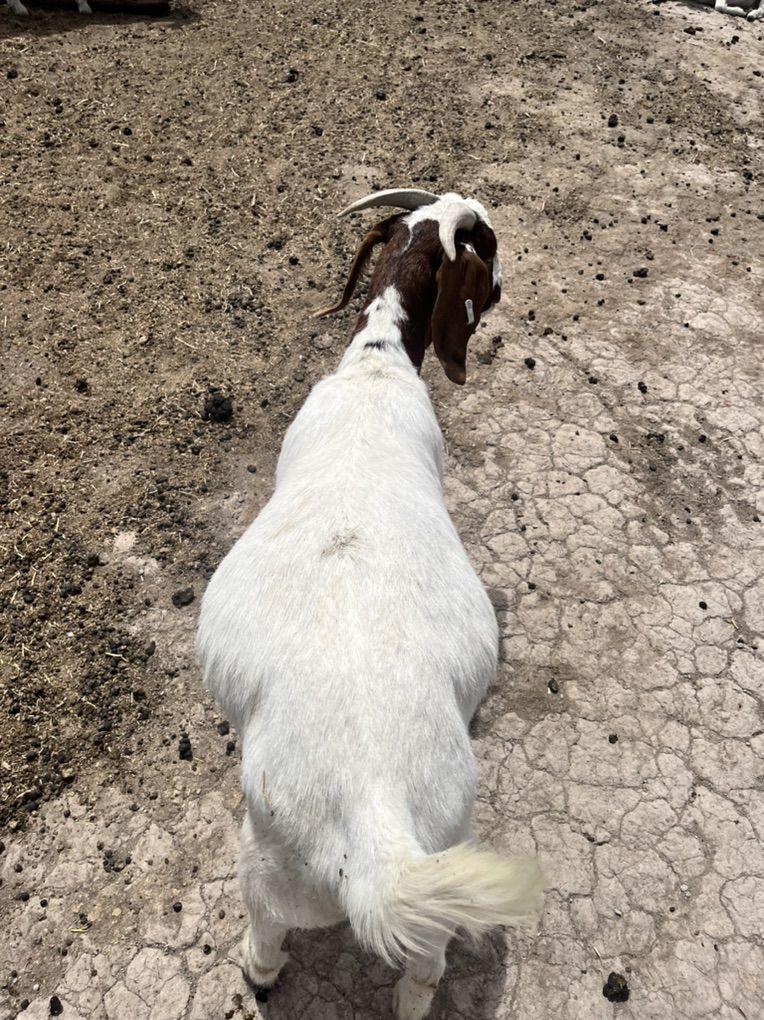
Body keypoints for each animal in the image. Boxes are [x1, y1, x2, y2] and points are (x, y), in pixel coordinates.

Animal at [196, 188, 544, 1020]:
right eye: (488, 245)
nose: (510, 286)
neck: (375, 366)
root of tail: (374, 814)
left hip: (270, 870)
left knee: (276, 938)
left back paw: (259, 973)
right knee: (421, 970)